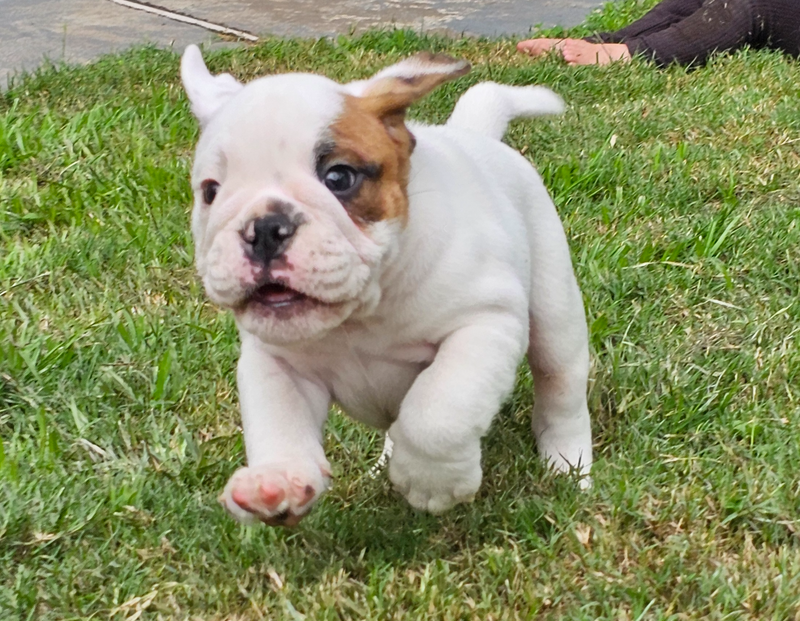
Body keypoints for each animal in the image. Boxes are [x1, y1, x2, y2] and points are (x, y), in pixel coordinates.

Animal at [181, 46, 592, 524]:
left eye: (339, 178)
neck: (362, 315)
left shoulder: (484, 324)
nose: (264, 228)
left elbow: (440, 406)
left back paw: (568, 467)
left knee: (560, 386)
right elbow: (278, 422)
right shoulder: (276, 363)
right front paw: (278, 480)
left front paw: (433, 482)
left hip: (554, 311)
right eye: (211, 192)